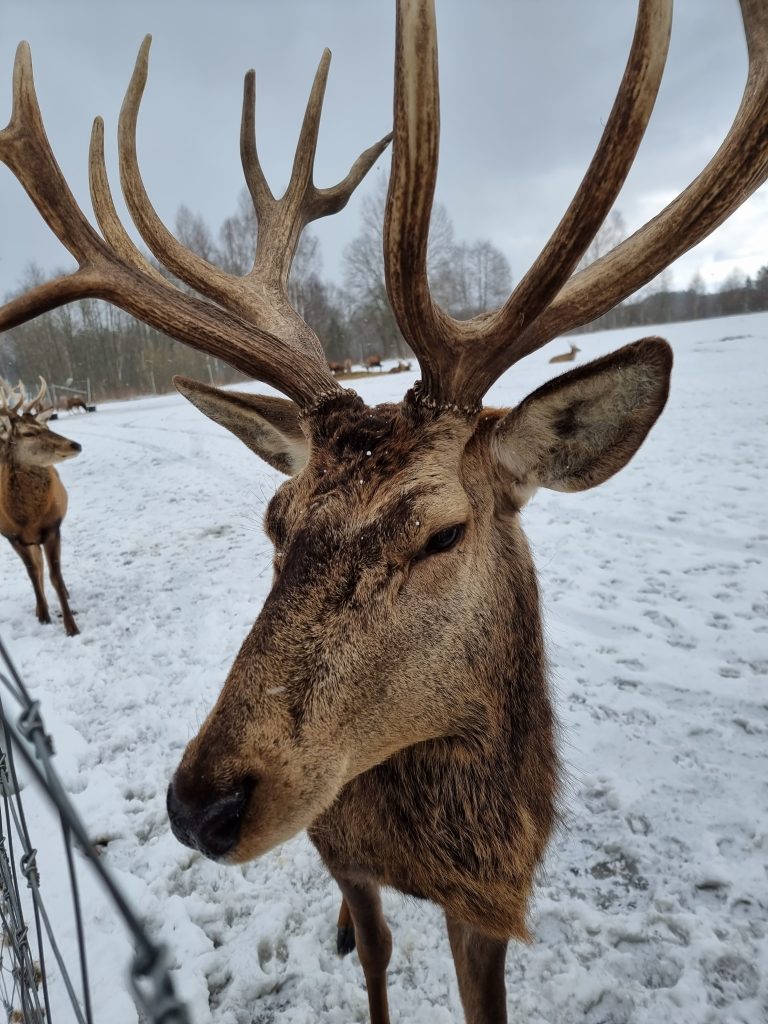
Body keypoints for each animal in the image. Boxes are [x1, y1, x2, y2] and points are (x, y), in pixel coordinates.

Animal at [0, 378, 82, 630]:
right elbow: (33, 574)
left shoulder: (53, 528)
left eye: (45, 427)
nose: (75, 445)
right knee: (38, 567)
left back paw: (66, 594)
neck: (28, 520)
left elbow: (55, 575)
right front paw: (43, 615)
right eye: (28, 433)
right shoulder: (12, 537)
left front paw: (71, 626)